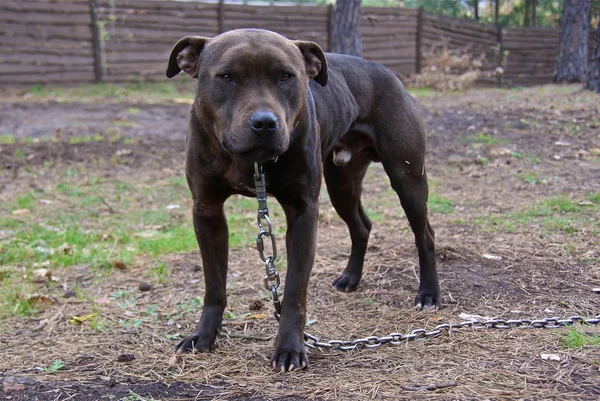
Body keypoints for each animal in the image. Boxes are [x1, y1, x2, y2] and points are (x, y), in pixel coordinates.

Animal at [166, 28, 438, 372]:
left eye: (286, 76)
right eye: (226, 76)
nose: (264, 122)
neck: (252, 162)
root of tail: (389, 75)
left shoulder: (303, 213)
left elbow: (294, 289)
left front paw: (289, 348)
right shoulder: (207, 211)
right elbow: (214, 285)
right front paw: (204, 335)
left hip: (407, 179)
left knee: (424, 234)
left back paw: (429, 293)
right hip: (342, 184)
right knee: (361, 226)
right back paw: (351, 278)